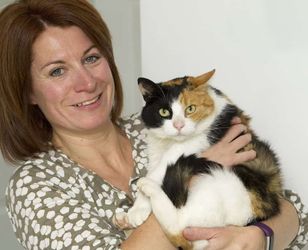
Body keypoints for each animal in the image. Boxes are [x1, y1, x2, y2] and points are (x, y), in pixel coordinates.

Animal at [116, 69, 284, 249]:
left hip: (221, 183)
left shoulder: (201, 137)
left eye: (190, 109)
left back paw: (147, 186)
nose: (179, 126)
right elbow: (155, 168)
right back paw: (122, 221)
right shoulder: (155, 151)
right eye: (164, 112)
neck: (170, 142)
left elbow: (159, 169)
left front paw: (136, 210)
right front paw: (136, 210)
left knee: (179, 225)